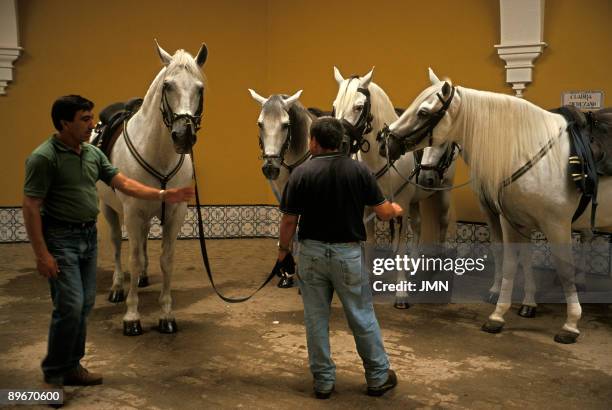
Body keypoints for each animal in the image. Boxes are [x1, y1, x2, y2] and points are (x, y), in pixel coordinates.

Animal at [93, 42, 208, 336]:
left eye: (200, 87)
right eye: (168, 85)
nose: (183, 135)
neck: (158, 152)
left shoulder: (175, 212)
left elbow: (166, 260)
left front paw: (166, 313)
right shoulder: (133, 212)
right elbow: (132, 258)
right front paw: (132, 316)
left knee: (143, 241)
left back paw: (143, 277)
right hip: (109, 208)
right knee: (117, 245)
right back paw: (117, 288)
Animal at [330, 66, 450, 308]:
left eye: (359, 107)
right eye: (335, 106)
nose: (340, 144)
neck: (382, 159)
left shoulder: (401, 206)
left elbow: (401, 247)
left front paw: (401, 293)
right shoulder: (368, 208)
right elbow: (370, 243)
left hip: (442, 191)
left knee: (441, 222)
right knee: (418, 225)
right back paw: (414, 263)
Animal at [380, 69, 608, 342]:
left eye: (423, 112)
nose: (386, 143)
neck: (528, 152)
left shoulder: (556, 224)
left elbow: (561, 267)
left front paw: (570, 324)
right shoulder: (511, 219)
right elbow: (512, 259)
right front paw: (504, 312)